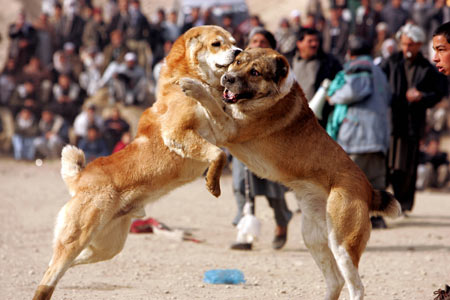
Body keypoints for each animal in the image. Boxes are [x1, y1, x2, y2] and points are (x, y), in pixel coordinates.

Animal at [32, 26, 241, 300]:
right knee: (52, 273)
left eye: (234, 42)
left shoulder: (224, 130)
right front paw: (212, 183)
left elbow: (218, 135)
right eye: (217, 44)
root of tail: (79, 179)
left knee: (63, 263)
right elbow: (217, 153)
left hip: (109, 246)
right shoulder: (177, 133)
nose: (239, 52)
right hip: (79, 236)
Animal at [179, 48, 400, 298]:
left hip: (343, 244)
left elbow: (212, 103)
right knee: (335, 281)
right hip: (314, 238)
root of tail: (369, 189)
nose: (228, 78)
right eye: (238, 62)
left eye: (255, 72)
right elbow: (215, 100)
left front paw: (193, 86)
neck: (269, 97)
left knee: (356, 286)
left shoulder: (229, 129)